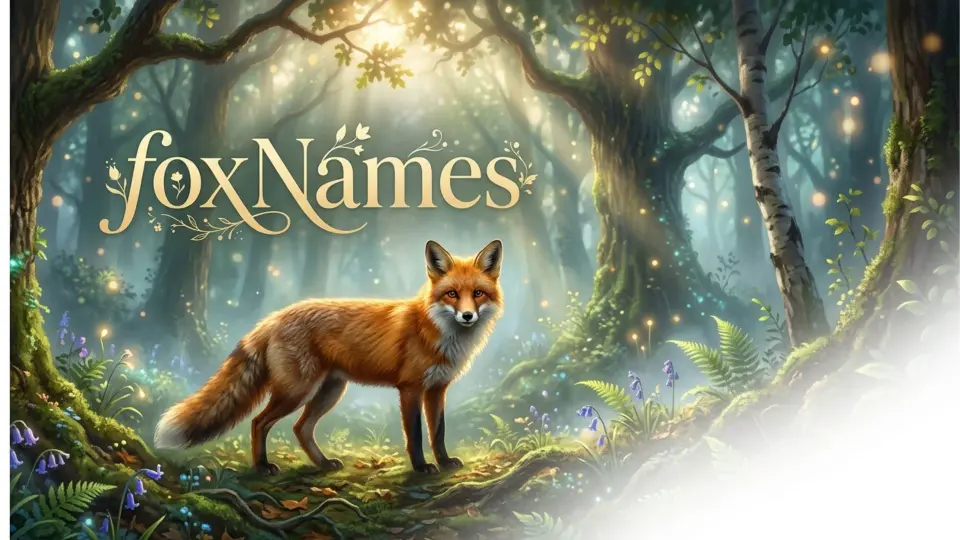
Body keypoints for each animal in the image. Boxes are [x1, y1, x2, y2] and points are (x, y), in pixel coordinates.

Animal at [155, 239, 504, 474]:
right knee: (258, 422)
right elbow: (416, 436)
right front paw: (421, 468)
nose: (468, 316)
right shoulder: (410, 388)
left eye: (478, 294)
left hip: (329, 391)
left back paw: (322, 463)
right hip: (297, 390)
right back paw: (263, 467)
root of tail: (274, 317)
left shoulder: (437, 389)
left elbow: (439, 433)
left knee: (300, 428)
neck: (438, 334)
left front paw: (444, 462)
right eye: (451, 294)